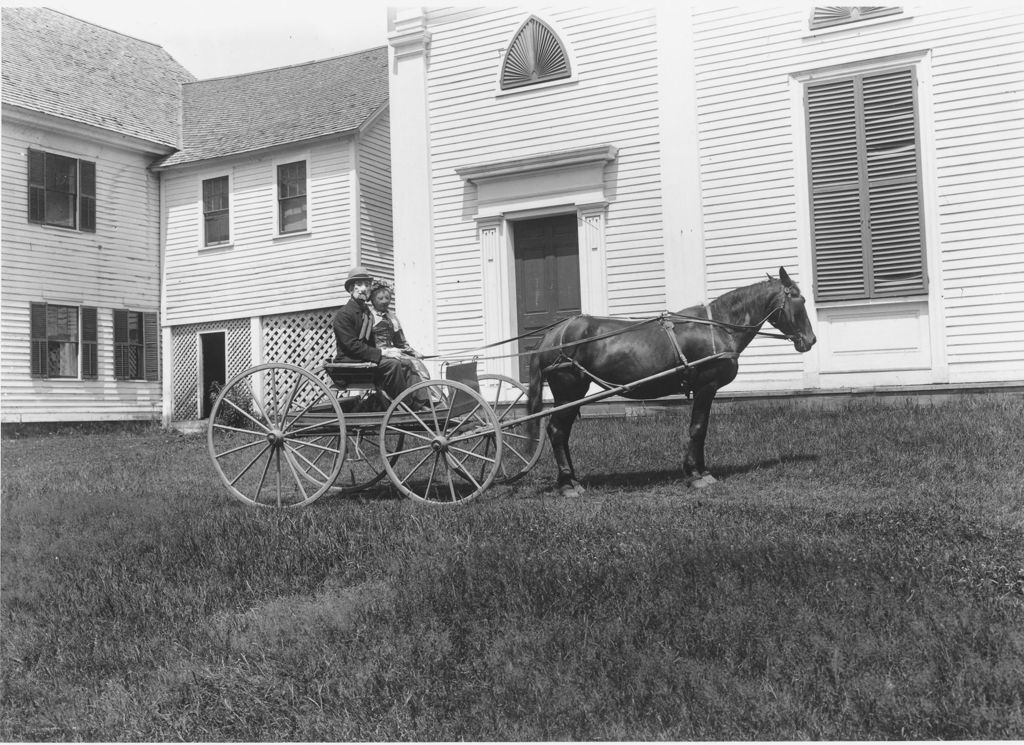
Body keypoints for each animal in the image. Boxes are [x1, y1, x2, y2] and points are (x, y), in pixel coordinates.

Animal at [528, 268, 815, 495]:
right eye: (799, 301)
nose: (810, 340)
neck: (718, 327)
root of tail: (553, 335)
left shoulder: (705, 390)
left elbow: (702, 428)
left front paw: (702, 471)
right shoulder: (706, 386)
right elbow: (697, 428)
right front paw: (695, 475)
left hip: (574, 393)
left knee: (562, 432)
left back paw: (572, 480)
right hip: (568, 390)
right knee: (557, 431)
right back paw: (567, 484)